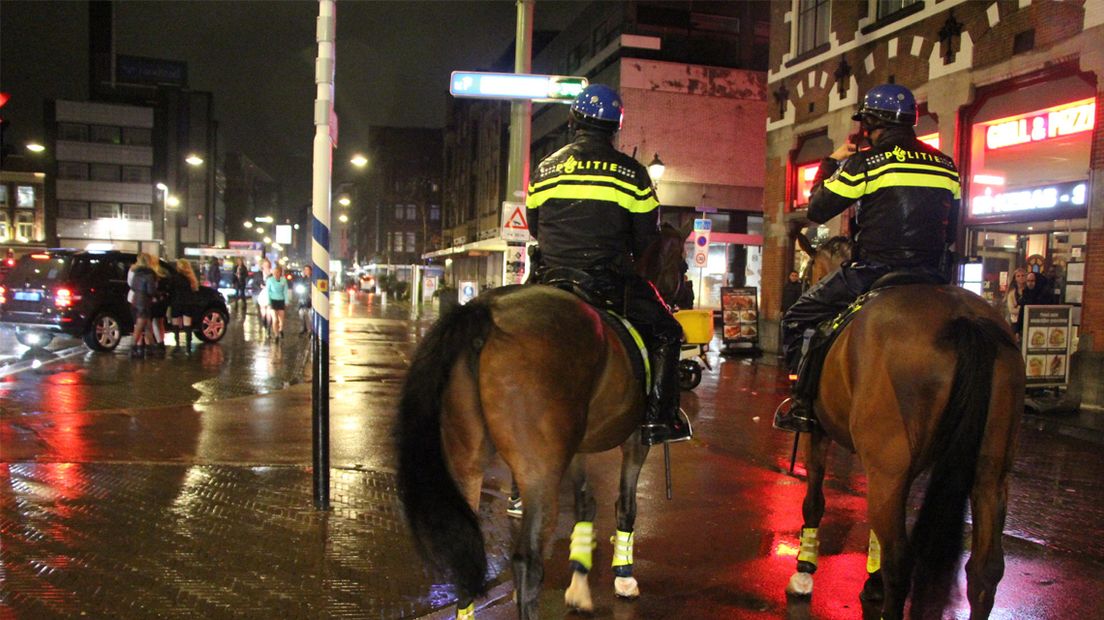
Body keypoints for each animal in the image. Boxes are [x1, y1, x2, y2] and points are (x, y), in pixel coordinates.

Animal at [395, 219, 688, 613]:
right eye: (683, 265)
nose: (685, 298)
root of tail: (483, 313)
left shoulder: (578, 449)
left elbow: (585, 505)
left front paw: (579, 583)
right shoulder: (635, 443)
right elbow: (625, 507)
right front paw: (623, 577)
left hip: (466, 460)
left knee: (465, 550)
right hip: (539, 473)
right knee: (527, 562)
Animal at [786, 233, 1024, 613]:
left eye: (808, 275)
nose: (802, 285)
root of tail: (965, 319)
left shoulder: (821, 434)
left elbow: (814, 501)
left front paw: (805, 569)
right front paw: (871, 578)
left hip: (888, 467)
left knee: (901, 562)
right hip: (990, 475)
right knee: (985, 571)